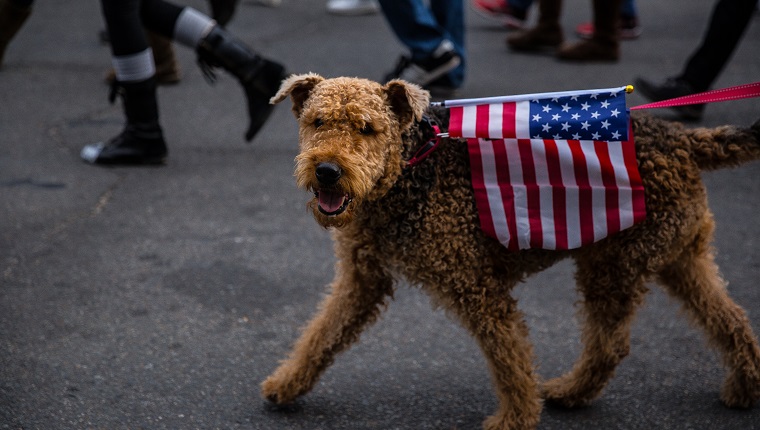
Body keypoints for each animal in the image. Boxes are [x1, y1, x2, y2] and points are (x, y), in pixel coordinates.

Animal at [262, 72, 760, 428]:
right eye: (317, 121)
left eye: (367, 129)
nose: (327, 171)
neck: (410, 165)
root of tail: (683, 139)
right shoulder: (363, 278)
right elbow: (323, 332)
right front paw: (286, 384)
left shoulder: (476, 286)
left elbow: (509, 357)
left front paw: (516, 419)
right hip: (679, 255)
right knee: (730, 319)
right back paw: (745, 386)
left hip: (615, 265)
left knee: (610, 345)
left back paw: (569, 392)